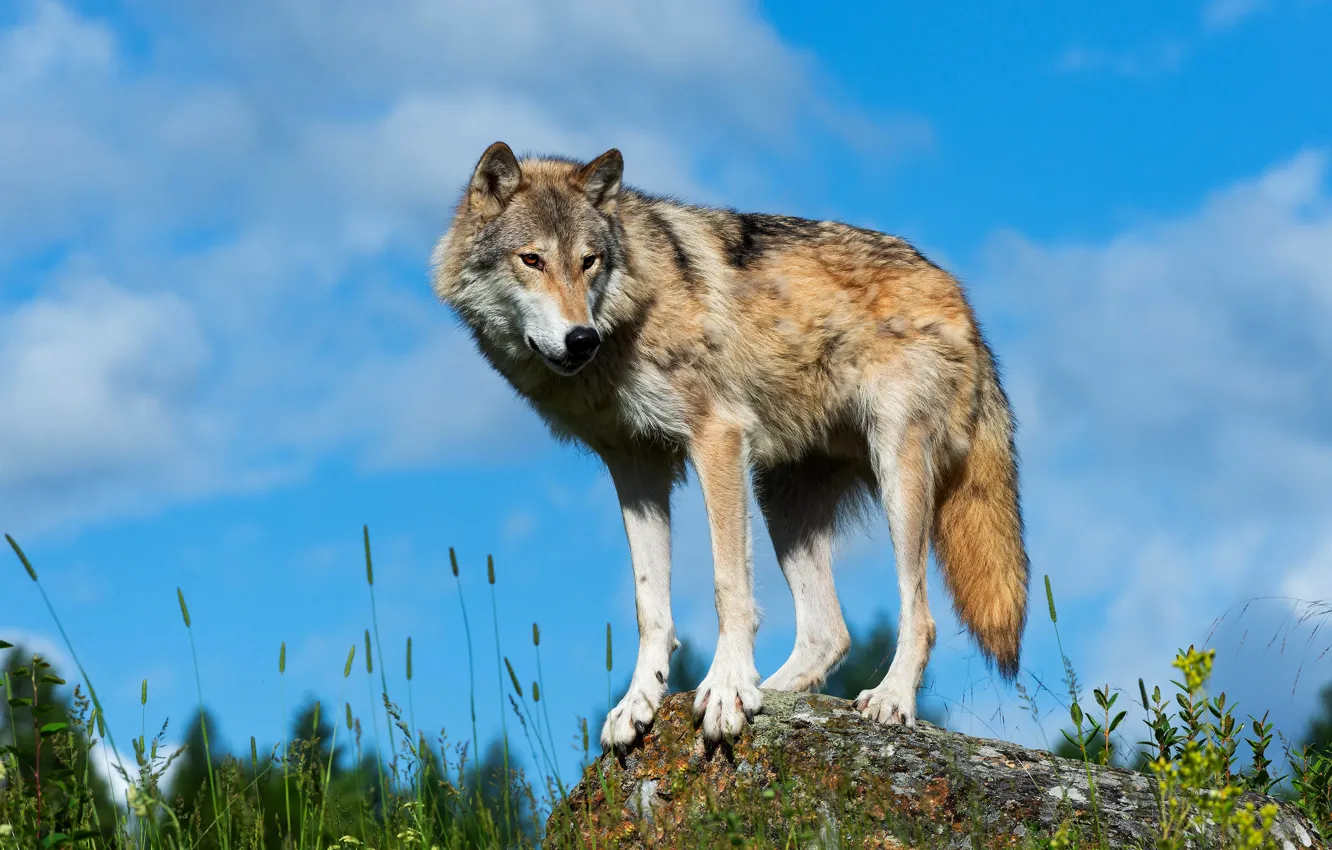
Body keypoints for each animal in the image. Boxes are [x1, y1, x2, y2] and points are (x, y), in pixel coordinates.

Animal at [431, 142, 1029, 752]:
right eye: (531, 260)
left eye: (589, 261)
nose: (581, 339)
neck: (629, 319)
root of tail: (958, 292)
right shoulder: (635, 467)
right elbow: (650, 606)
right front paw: (640, 701)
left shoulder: (717, 437)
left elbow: (728, 585)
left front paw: (725, 689)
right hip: (780, 499)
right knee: (830, 632)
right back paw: (776, 693)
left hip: (896, 471)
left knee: (919, 615)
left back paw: (888, 700)